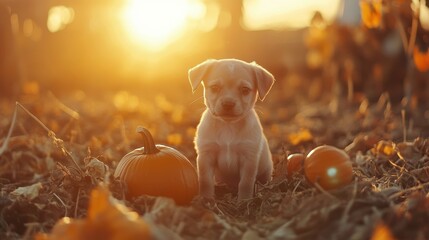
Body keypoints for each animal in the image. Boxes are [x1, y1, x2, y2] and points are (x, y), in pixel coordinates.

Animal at [187, 58, 274, 201]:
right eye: (215, 88)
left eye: (245, 90)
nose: (228, 104)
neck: (228, 126)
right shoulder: (206, 155)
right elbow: (205, 180)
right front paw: (206, 199)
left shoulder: (249, 158)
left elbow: (246, 182)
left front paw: (244, 201)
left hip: (266, 169)